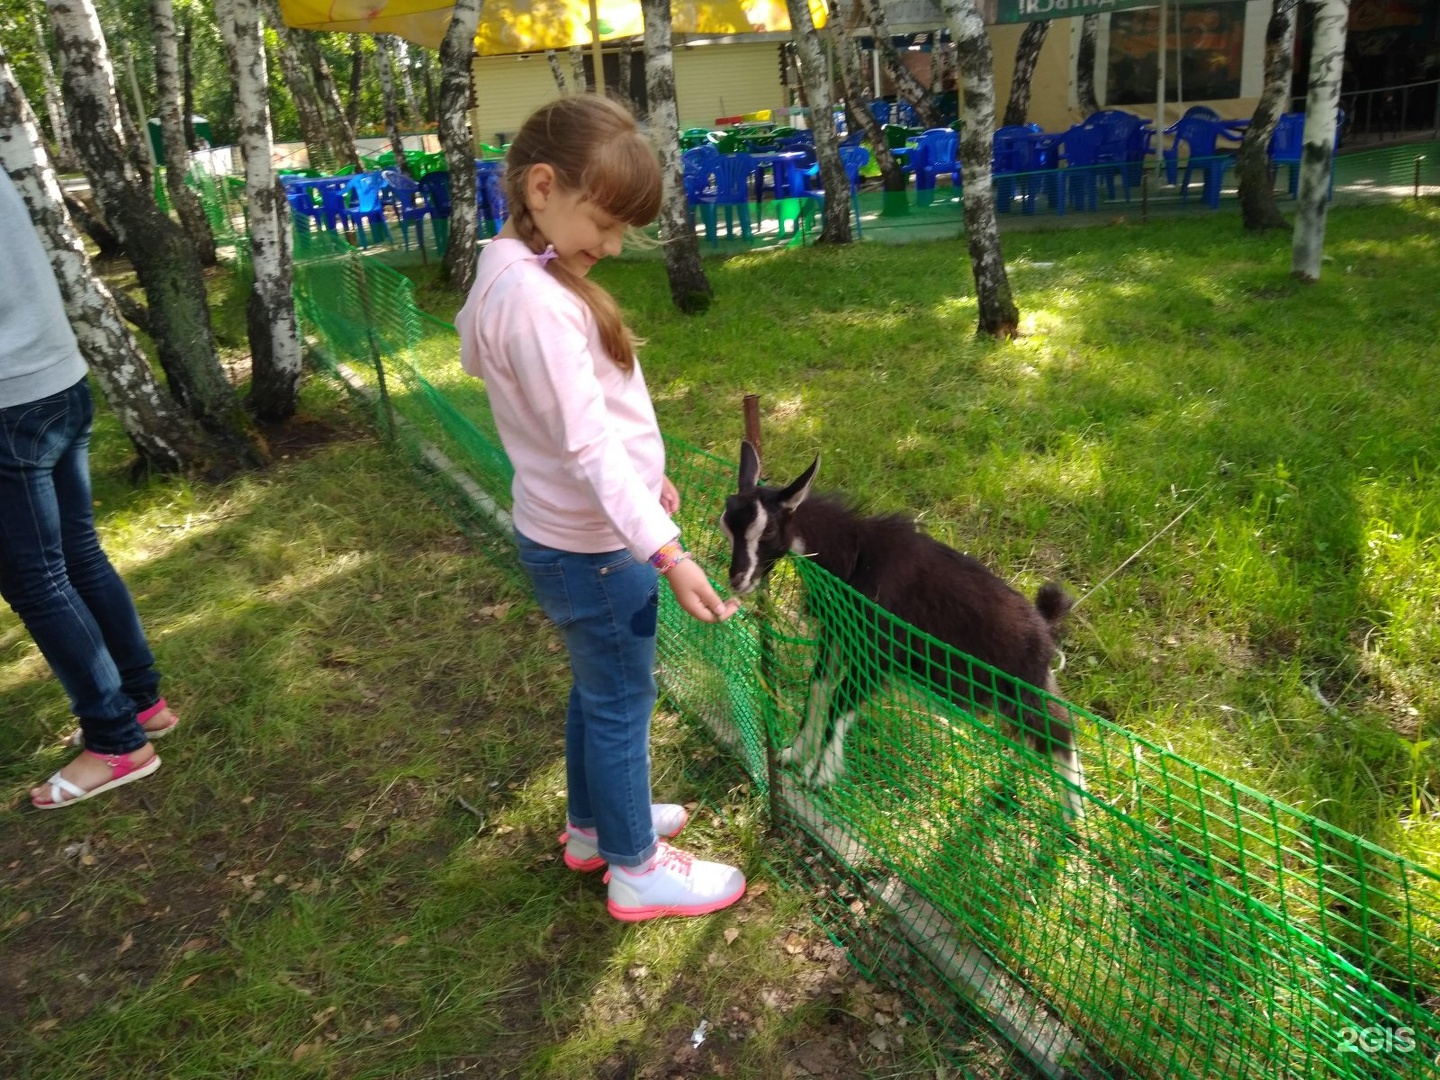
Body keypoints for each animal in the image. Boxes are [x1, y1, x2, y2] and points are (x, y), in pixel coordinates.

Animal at [725, 443, 1082, 823]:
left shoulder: (877, 653)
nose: (738, 580)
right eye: (727, 524)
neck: (855, 556)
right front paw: (794, 753)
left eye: (767, 532)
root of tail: (1045, 625)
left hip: (1027, 686)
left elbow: (839, 703)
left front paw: (819, 775)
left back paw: (1075, 814)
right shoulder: (838, 634)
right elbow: (818, 688)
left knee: (1061, 729)